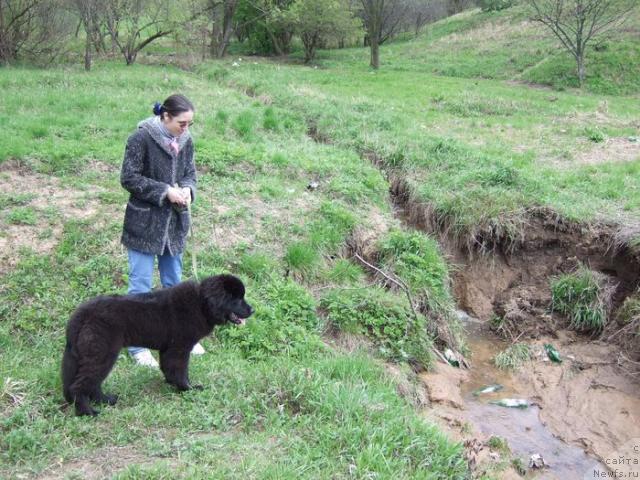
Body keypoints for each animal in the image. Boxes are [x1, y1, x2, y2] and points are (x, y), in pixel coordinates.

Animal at [62, 274, 252, 416]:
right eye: (237, 299)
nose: (253, 310)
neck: (201, 304)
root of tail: (80, 314)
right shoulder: (179, 348)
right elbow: (180, 370)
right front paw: (188, 389)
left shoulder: (169, 349)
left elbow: (169, 368)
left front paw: (173, 384)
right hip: (103, 352)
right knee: (81, 385)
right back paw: (87, 411)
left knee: (91, 383)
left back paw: (106, 400)